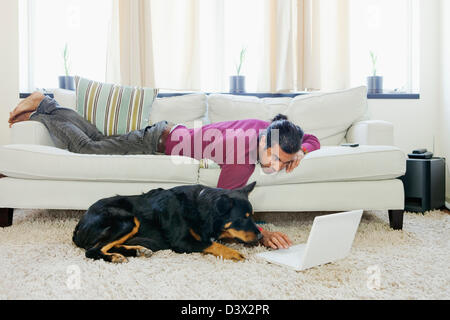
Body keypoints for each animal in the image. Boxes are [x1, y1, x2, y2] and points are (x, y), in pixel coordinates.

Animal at [71, 181, 260, 264]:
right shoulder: (182, 242)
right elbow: (211, 244)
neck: (200, 208)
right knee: (92, 250)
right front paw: (233, 253)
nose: (259, 237)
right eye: (242, 218)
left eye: (252, 216)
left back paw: (138, 250)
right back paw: (115, 257)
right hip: (128, 220)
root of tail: (79, 227)